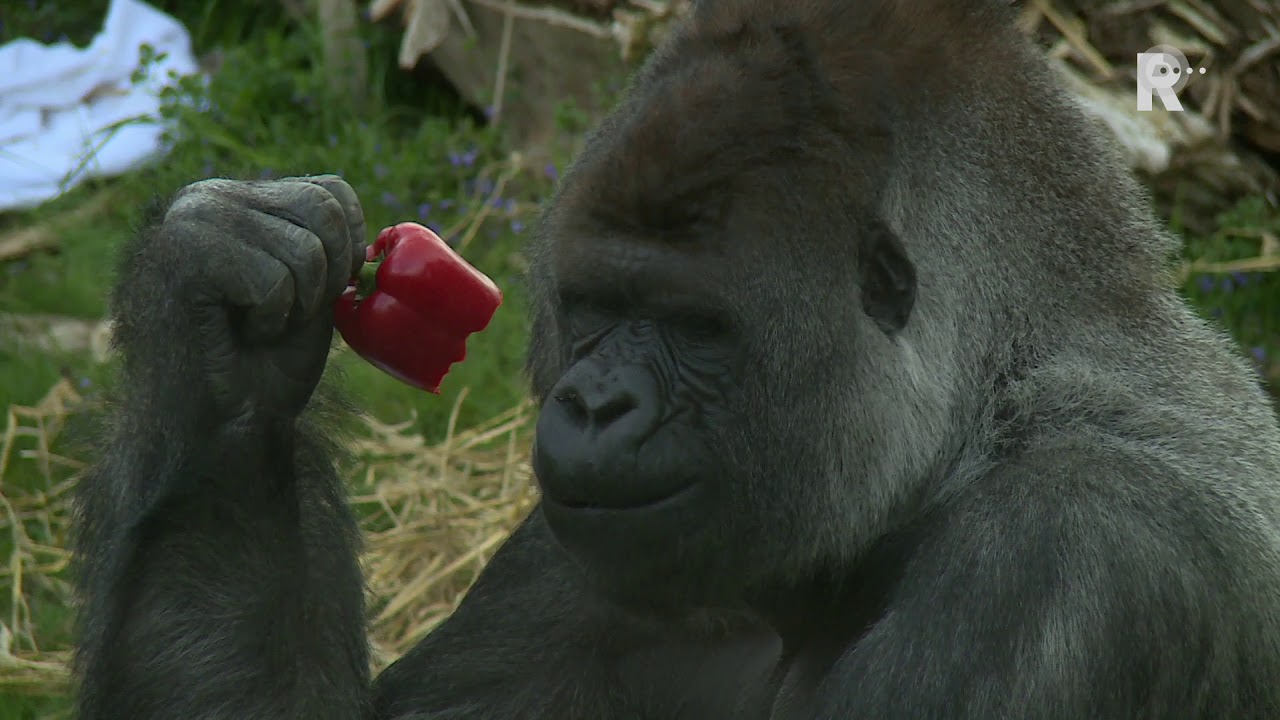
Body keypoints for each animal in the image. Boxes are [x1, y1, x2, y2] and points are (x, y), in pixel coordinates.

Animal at [72, 0, 1280, 718]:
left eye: (695, 326)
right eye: (599, 309)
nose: (595, 403)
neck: (978, 422)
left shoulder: (1066, 559)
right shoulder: (578, 543)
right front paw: (220, 336)